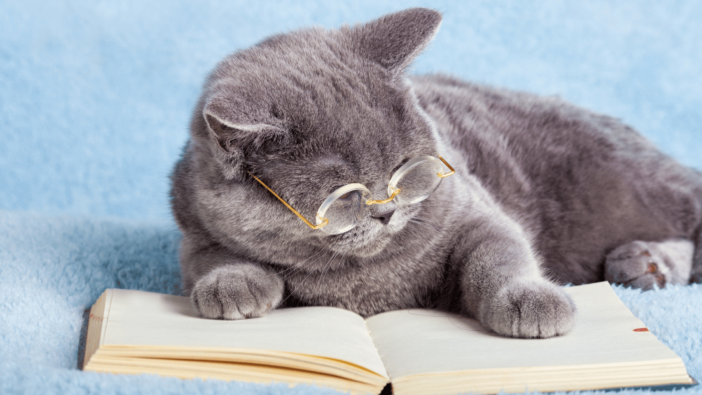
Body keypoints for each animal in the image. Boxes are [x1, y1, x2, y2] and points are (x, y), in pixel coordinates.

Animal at [172, 7, 702, 338]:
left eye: (406, 169)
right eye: (344, 195)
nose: (386, 213)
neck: (364, 275)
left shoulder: (474, 213)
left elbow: (500, 255)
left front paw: (532, 301)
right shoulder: (197, 228)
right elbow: (213, 258)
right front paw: (232, 285)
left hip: (637, 190)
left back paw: (646, 262)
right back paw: (642, 264)